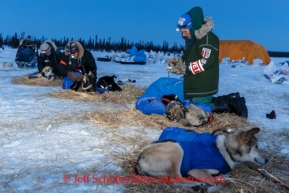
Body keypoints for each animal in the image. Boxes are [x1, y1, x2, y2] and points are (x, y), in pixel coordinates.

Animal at [135, 126, 268, 191]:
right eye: (256, 146)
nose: (267, 160)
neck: (225, 149)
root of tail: (139, 160)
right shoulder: (196, 171)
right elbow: (218, 180)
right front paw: (215, 184)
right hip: (177, 147)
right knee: (176, 177)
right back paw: (198, 185)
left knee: (172, 180)